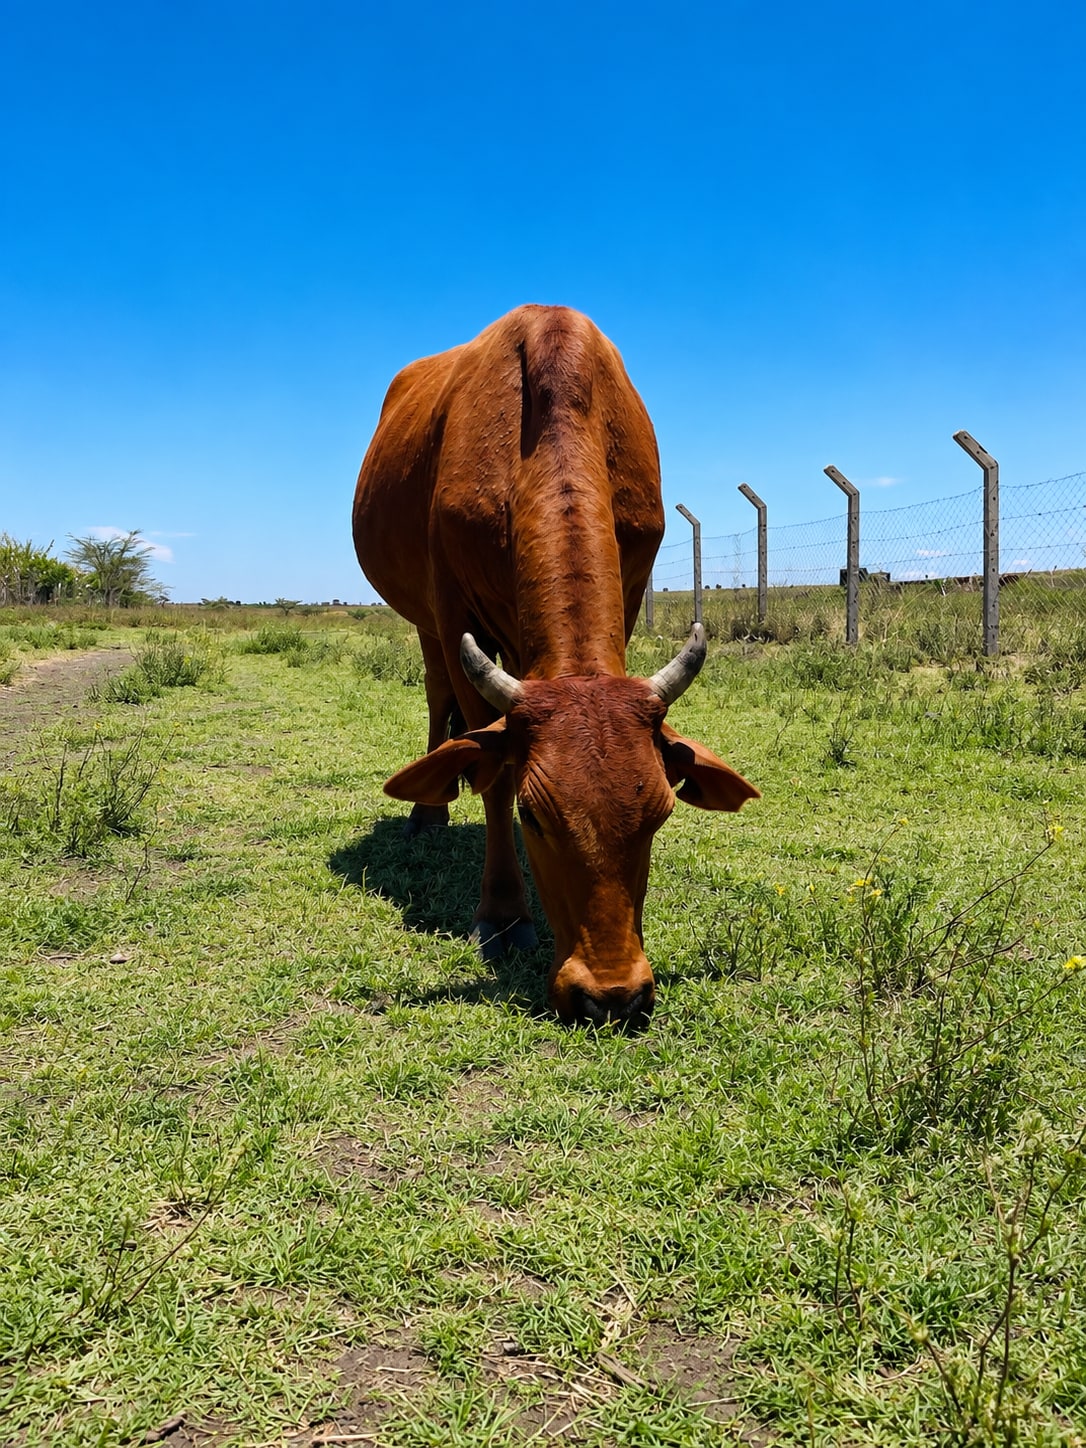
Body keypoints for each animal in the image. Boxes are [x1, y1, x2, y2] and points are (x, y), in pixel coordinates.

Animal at [352, 305, 758, 1027]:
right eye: (536, 817)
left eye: (660, 814)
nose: (612, 995)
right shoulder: (453, 610)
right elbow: (489, 772)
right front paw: (503, 914)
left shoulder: (631, 585)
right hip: (425, 621)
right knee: (437, 698)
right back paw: (427, 813)